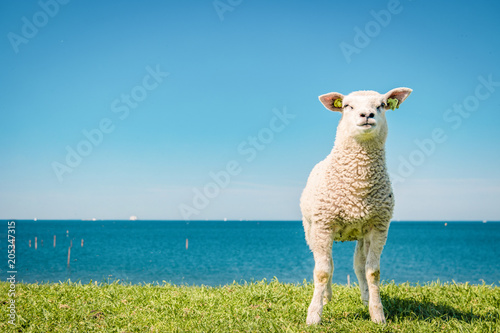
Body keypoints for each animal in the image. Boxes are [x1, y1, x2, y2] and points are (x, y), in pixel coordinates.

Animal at [300, 87, 410, 322]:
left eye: (382, 105)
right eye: (347, 106)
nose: (367, 115)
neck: (357, 186)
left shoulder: (379, 227)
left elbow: (372, 271)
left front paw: (377, 314)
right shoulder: (323, 225)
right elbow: (322, 271)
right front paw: (314, 315)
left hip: (361, 234)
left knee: (359, 265)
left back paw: (366, 297)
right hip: (311, 229)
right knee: (326, 264)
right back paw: (326, 297)